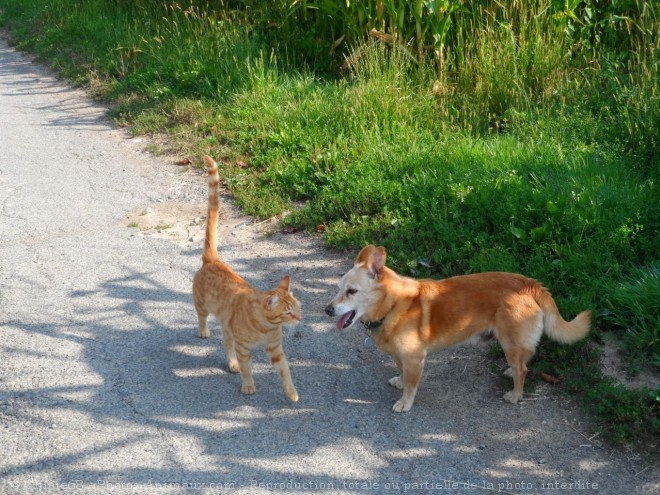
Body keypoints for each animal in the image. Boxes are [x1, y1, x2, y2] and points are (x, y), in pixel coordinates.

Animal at [192, 155, 302, 404]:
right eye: (288, 312)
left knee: (226, 342)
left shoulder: (276, 350)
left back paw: (230, 363)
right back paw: (204, 332)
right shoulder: (244, 348)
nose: (300, 319)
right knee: (203, 318)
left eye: (299, 307)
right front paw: (248, 385)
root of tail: (213, 259)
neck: (265, 328)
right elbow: (247, 369)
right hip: (202, 305)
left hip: (226, 323)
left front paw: (291, 393)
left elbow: (286, 372)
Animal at [328, 246, 592, 412]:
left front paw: (405, 402)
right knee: (524, 360)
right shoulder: (401, 357)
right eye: (338, 288)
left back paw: (516, 395)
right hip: (513, 342)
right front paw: (400, 382)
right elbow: (402, 372)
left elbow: (412, 385)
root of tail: (528, 283)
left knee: (523, 370)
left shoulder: (415, 358)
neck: (393, 304)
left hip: (509, 341)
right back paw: (510, 373)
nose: (327, 310)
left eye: (352, 291)